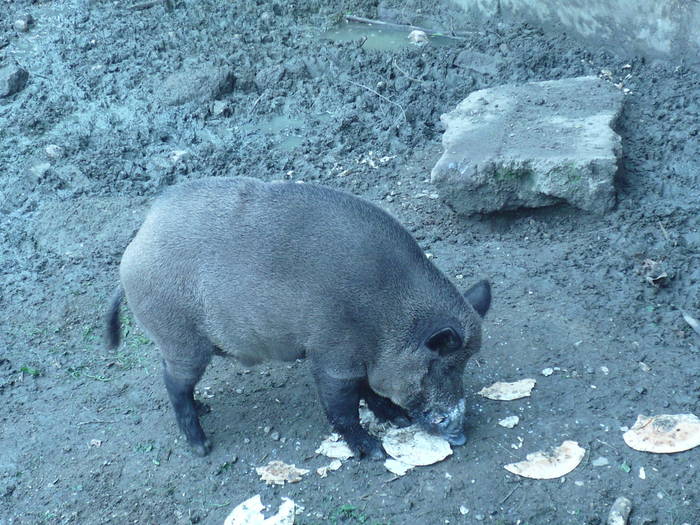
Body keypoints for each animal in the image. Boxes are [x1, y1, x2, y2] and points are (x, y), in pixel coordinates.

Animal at [106, 174, 490, 456]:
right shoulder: (334, 356)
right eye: (441, 365)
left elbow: (369, 391)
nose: (461, 435)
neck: (387, 317)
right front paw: (375, 451)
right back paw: (202, 447)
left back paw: (205, 411)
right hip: (182, 341)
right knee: (174, 384)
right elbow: (343, 407)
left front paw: (396, 419)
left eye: (463, 364)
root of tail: (134, 249)